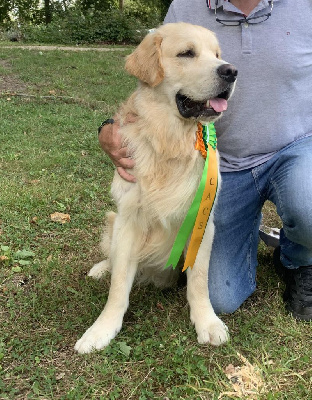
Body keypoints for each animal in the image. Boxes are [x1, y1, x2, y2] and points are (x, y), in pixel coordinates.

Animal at [75, 21, 236, 354]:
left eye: (216, 55)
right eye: (187, 53)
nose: (231, 71)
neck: (170, 143)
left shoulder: (203, 222)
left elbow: (199, 280)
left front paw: (207, 322)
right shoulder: (128, 220)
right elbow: (118, 286)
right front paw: (102, 330)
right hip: (112, 220)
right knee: (111, 258)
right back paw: (101, 269)